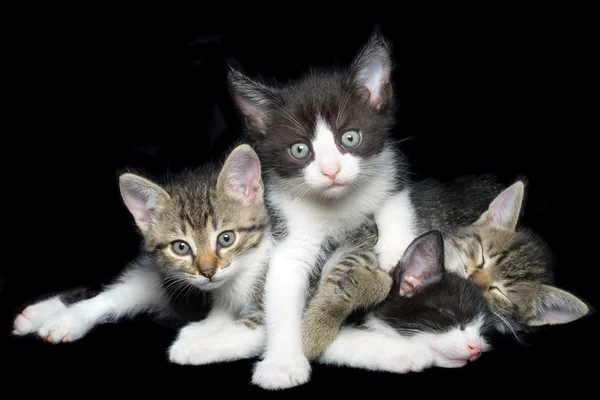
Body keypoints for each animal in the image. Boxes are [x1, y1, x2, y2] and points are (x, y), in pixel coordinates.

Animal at [12, 144, 272, 366]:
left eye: (226, 238)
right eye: (181, 247)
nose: (208, 271)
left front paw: (195, 344)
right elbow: (121, 293)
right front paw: (65, 319)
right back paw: (44, 316)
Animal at [227, 32, 406, 390]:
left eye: (350, 137)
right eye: (300, 150)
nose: (331, 171)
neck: (336, 205)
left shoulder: (390, 168)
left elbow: (395, 197)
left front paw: (394, 246)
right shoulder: (287, 225)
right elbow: (283, 286)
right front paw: (282, 365)